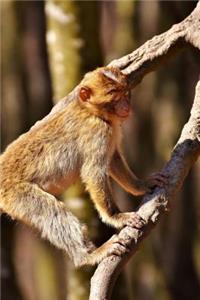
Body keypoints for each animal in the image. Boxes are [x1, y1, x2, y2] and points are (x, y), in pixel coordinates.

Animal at [0, 67, 166, 266]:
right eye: (115, 96)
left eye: (126, 94)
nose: (127, 107)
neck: (92, 112)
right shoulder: (98, 132)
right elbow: (93, 172)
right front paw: (116, 217)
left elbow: (113, 159)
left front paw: (140, 185)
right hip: (16, 194)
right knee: (52, 212)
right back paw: (87, 255)